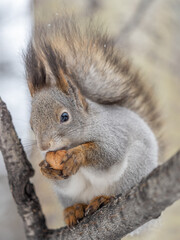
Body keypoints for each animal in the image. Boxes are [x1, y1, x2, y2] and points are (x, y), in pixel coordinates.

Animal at [24, 16, 162, 227]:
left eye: (65, 117)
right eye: (32, 125)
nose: (44, 145)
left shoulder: (113, 133)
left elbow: (108, 153)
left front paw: (77, 155)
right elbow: (64, 180)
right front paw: (45, 168)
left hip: (135, 169)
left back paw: (104, 199)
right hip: (68, 196)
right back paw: (73, 210)